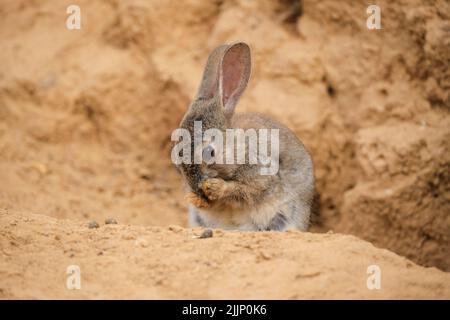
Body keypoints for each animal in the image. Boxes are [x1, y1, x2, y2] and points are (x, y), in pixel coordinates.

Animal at [174, 43, 314, 232]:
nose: (196, 187)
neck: (235, 145)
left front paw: (216, 187)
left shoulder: (262, 175)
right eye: (178, 155)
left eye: (210, 153)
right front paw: (195, 199)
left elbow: (245, 191)